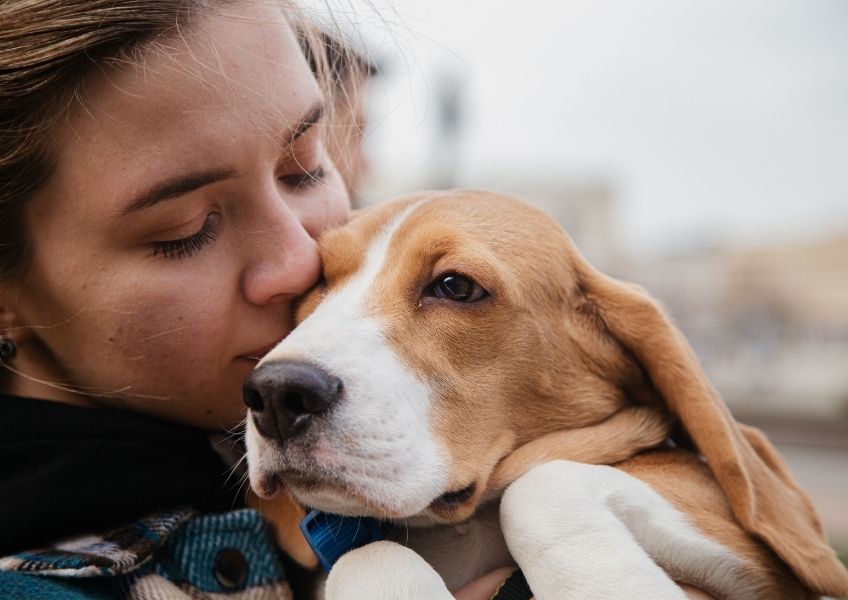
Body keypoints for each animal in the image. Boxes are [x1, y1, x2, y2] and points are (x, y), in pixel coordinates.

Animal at [243, 191, 848, 600]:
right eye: (316, 284)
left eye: (455, 285)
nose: (276, 393)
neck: (462, 528)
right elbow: (367, 554)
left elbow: (538, 485)